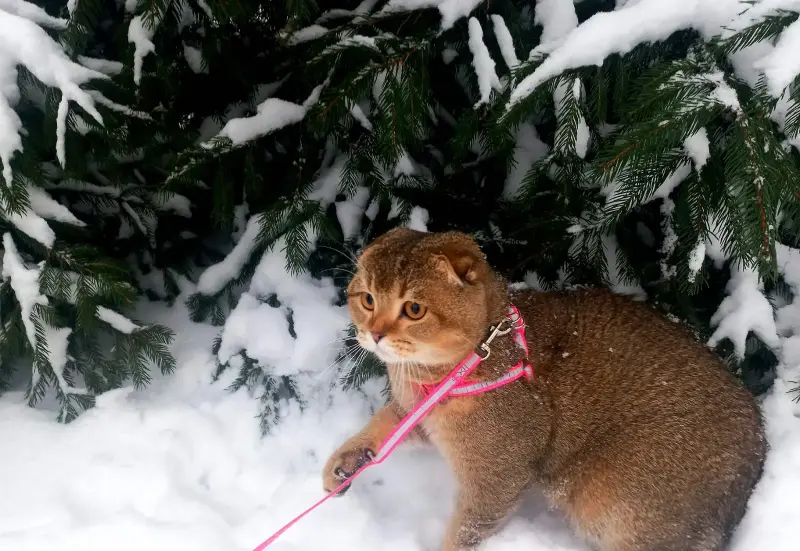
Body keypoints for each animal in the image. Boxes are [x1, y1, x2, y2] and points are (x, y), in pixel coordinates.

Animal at [322, 226, 764, 548]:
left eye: (414, 309)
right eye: (366, 299)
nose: (374, 333)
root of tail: (757, 454)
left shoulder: (497, 477)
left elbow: (464, 531)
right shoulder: (417, 413)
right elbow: (382, 425)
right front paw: (345, 463)